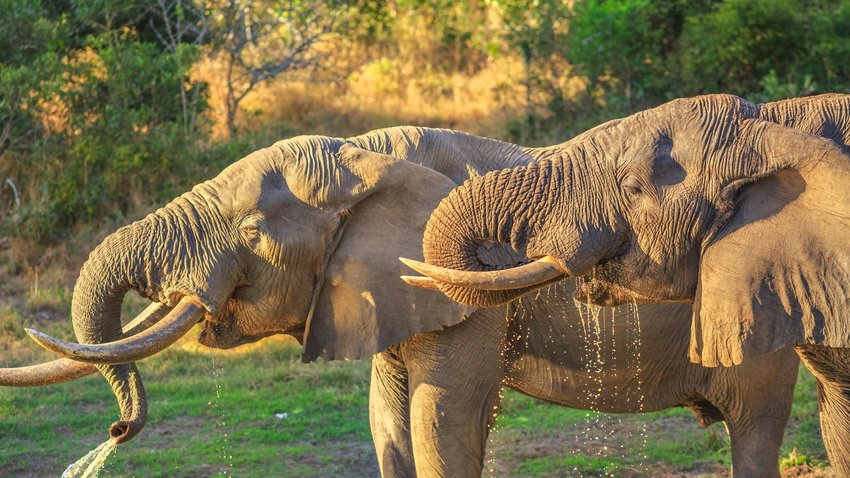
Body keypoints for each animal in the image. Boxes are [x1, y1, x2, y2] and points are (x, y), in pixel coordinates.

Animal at [4, 125, 800, 476]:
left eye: (253, 232)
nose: (117, 431)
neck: (364, 153)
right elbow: (388, 421)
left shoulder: (464, 287)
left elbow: (437, 419)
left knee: (756, 428)